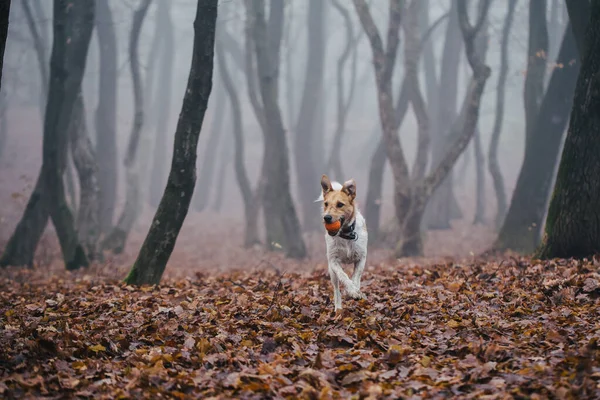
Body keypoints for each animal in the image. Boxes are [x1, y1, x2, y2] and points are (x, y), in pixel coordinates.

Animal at [316, 173, 368, 310]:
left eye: (340, 204)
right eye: (326, 204)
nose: (326, 217)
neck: (345, 235)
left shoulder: (361, 258)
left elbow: (356, 275)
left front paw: (355, 290)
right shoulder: (333, 261)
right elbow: (343, 275)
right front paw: (351, 291)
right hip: (331, 271)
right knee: (336, 289)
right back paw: (338, 308)